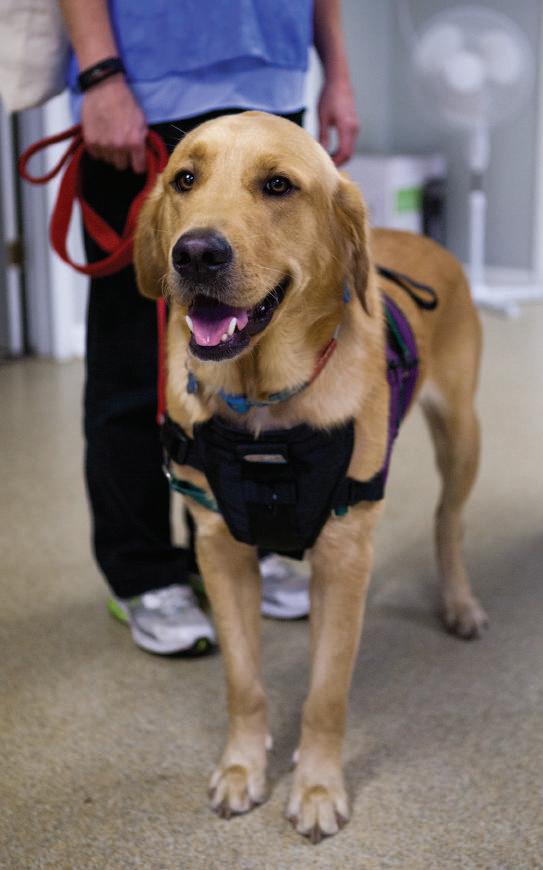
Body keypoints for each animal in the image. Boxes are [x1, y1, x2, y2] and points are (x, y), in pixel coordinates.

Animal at [134, 111, 487, 842]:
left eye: (277, 185)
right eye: (185, 178)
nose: (195, 254)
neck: (263, 410)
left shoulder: (344, 557)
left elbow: (326, 694)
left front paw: (319, 787)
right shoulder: (220, 549)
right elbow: (244, 683)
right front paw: (243, 769)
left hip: (462, 434)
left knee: (448, 521)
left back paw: (459, 603)